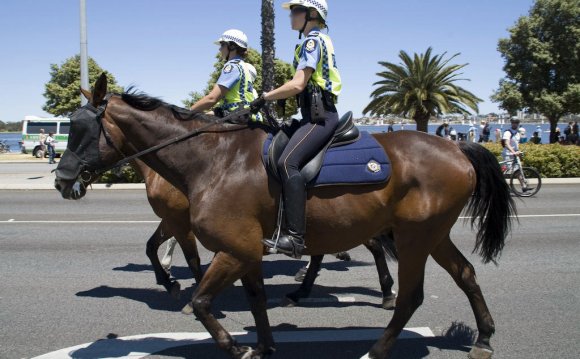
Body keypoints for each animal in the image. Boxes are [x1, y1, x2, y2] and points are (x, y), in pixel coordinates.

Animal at [55, 74, 516, 358]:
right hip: (432, 235)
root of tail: (457, 146)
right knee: (466, 275)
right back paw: (484, 338)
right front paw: (263, 345)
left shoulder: (230, 248)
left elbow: (202, 300)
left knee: (411, 296)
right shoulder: (244, 252)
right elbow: (255, 300)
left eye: (81, 129)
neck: (212, 160)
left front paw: (233, 344)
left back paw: (377, 345)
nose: (61, 180)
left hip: (415, 238)